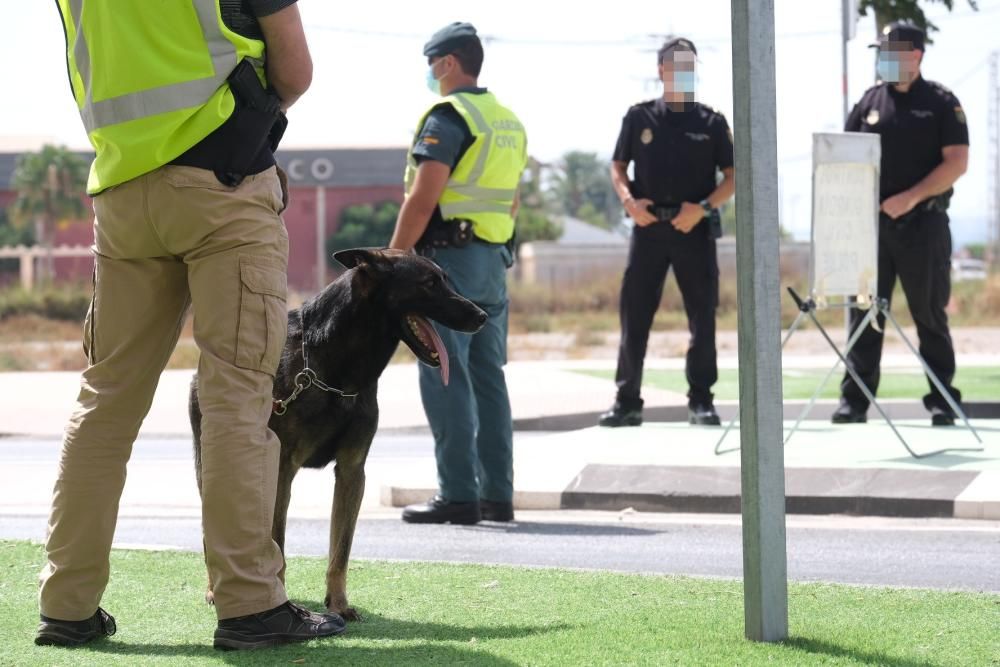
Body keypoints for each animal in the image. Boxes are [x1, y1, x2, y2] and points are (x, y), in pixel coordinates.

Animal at [189, 249, 486, 620]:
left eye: (444, 279)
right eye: (429, 283)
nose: (482, 316)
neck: (334, 366)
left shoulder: (351, 472)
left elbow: (340, 551)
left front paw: (339, 604)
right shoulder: (282, 471)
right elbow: (277, 545)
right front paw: (281, 601)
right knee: (212, 528)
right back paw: (216, 588)